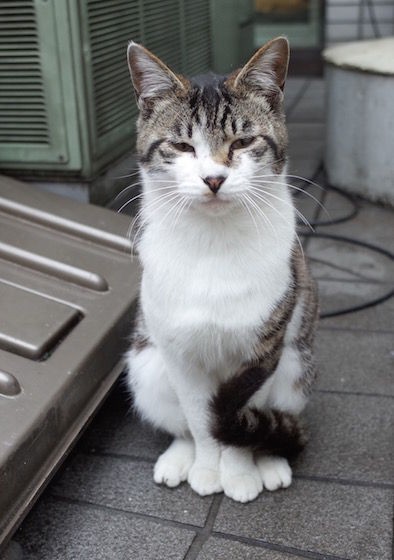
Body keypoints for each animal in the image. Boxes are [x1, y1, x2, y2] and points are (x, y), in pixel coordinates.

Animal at [124, 38, 318, 504]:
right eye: (181, 147)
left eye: (244, 141)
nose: (213, 178)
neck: (213, 243)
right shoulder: (179, 354)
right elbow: (200, 420)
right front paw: (208, 469)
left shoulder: (263, 350)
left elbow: (241, 413)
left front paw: (240, 473)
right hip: (146, 367)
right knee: (179, 423)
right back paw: (179, 458)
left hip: (296, 368)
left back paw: (270, 460)